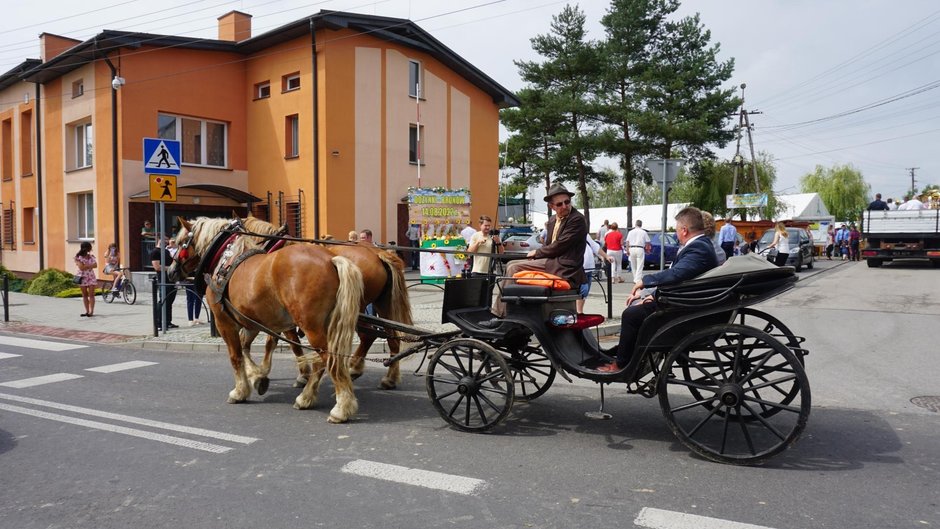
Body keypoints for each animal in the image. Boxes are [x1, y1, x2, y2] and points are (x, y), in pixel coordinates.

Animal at [169, 217, 364, 422]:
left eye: (180, 242)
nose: (171, 271)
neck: (227, 260)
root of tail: (330, 259)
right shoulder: (251, 321)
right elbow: (247, 348)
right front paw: (257, 376)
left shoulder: (224, 322)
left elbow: (236, 355)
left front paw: (240, 391)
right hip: (324, 325)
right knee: (321, 360)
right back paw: (306, 397)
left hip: (311, 326)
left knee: (330, 359)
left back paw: (341, 408)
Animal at [239, 213, 412, 388]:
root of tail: (377, 253)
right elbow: (272, 342)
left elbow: (289, 343)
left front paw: (301, 374)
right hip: (382, 304)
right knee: (392, 338)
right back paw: (388, 377)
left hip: (356, 308)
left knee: (368, 336)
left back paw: (356, 368)